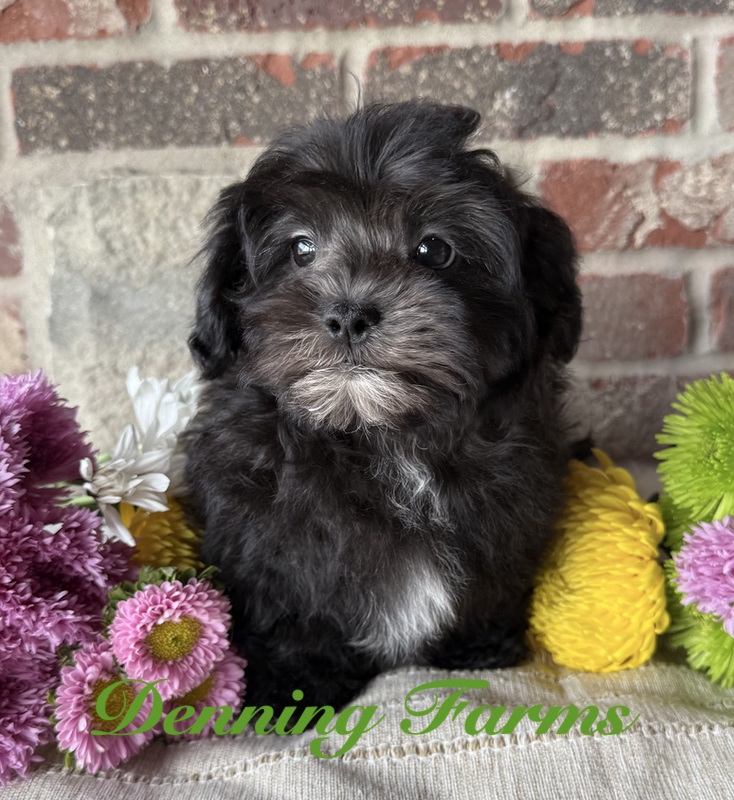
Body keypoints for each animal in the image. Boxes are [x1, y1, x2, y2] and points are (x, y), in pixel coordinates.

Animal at [183, 101, 582, 714]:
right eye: (301, 248)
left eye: (435, 249)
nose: (349, 314)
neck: (382, 437)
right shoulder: (267, 536)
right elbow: (291, 605)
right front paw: (295, 681)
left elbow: (492, 582)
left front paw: (477, 646)